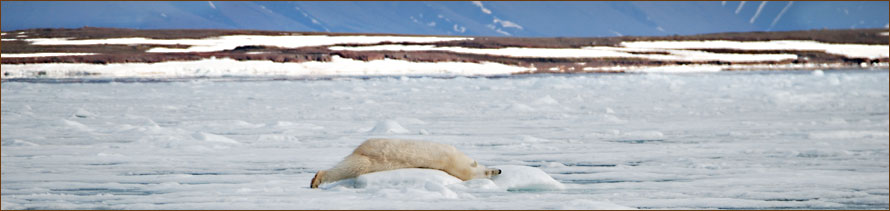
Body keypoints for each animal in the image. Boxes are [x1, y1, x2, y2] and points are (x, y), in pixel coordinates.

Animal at [310, 138, 500, 189]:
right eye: (487, 172)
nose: (499, 170)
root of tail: (360, 148)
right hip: (368, 157)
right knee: (347, 168)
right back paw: (316, 179)